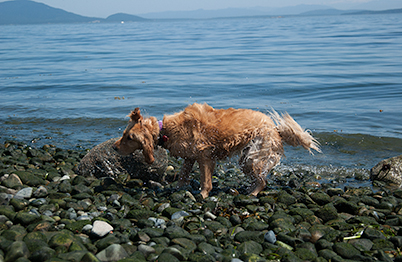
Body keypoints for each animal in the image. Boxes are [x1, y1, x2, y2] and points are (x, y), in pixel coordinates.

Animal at [113, 103, 320, 198]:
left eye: (128, 137)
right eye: (124, 134)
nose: (114, 147)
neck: (166, 130)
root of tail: (275, 128)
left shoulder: (205, 157)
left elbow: (206, 181)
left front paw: (203, 195)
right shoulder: (190, 158)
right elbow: (182, 175)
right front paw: (178, 189)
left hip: (252, 157)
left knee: (262, 181)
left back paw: (252, 194)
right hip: (246, 159)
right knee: (260, 179)